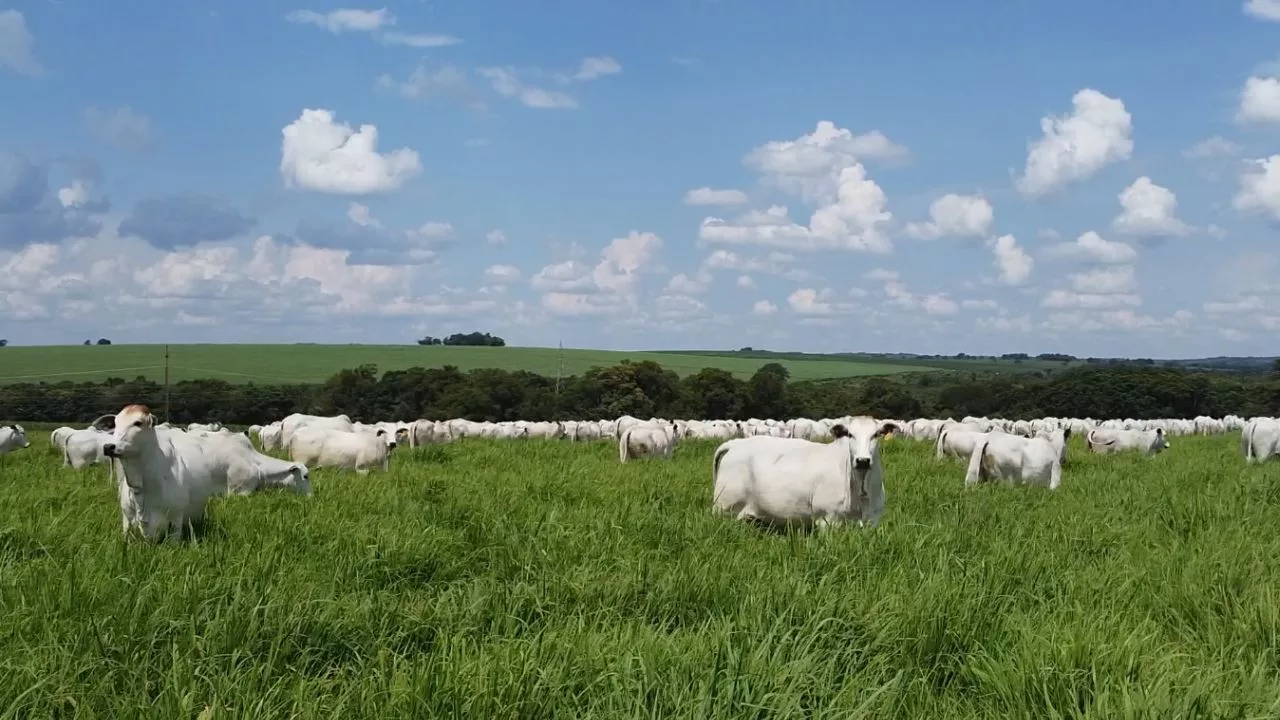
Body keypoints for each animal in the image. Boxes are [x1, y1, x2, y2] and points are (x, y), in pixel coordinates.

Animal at [711, 415, 901, 527]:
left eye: (876, 434)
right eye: (849, 434)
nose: (862, 461)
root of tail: (736, 443)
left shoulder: (872, 521)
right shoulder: (827, 520)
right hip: (723, 507)